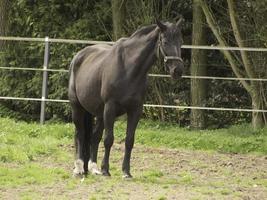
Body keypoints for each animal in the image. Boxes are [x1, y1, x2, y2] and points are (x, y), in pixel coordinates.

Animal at [68, 19, 184, 178]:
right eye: (165, 41)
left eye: (180, 42)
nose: (177, 70)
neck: (129, 68)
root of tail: (78, 56)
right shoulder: (110, 107)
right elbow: (109, 139)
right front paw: (106, 170)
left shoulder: (135, 110)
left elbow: (129, 140)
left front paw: (126, 172)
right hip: (78, 107)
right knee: (79, 134)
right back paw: (79, 169)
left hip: (98, 113)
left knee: (94, 137)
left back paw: (93, 168)